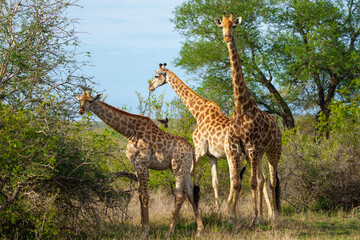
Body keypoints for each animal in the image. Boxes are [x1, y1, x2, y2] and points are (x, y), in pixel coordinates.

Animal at [76, 89, 204, 237]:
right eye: (80, 100)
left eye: (90, 101)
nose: (80, 110)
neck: (129, 132)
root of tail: (191, 149)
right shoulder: (135, 165)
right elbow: (138, 195)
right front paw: (142, 228)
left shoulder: (142, 164)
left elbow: (144, 196)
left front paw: (145, 231)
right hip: (186, 168)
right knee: (190, 194)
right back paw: (199, 230)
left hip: (177, 167)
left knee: (179, 195)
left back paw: (169, 232)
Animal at [148, 62, 245, 224]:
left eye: (156, 76)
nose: (149, 87)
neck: (198, 113)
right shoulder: (211, 155)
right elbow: (215, 181)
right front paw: (217, 208)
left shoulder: (199, 149)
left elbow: (191, 173)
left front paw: (189, 205)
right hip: (246, 155)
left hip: (233, 155)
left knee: (235, 180)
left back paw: (230, 209)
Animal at [215, 12, 282, 227]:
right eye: (222, 26)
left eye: (234, 26)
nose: (227, 37)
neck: (242, 107)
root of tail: (277, 125)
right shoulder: (237, 148)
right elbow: (238, 183)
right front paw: (232, 218)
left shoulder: (252, 147)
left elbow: (251, 183)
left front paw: (255, 218)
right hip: (259, 154)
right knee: (262, 180)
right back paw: (264, 215)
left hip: (273, 150)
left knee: (272, 180)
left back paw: (275, 216)